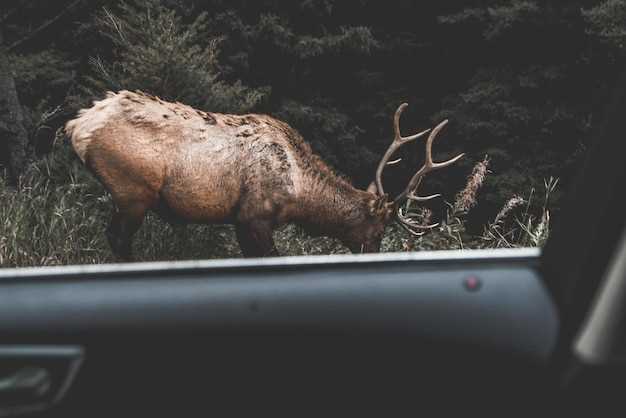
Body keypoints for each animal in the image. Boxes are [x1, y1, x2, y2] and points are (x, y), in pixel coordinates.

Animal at [64, 91, 464, 260]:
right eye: (377, 230)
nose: (372, 256)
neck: (299, 192)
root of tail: (78, 126)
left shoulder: (243, 220)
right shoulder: (253, 216)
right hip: (133, 190)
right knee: (118, 238)